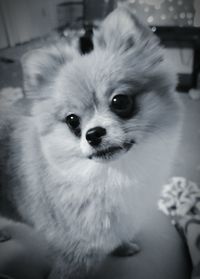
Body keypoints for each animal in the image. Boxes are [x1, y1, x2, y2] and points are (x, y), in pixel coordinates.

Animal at [0, 6, 181, 279]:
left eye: (120, 101)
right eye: (72, 120)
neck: (114, 174)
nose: (93, 133)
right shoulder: (74, 255)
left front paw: (123, 246)